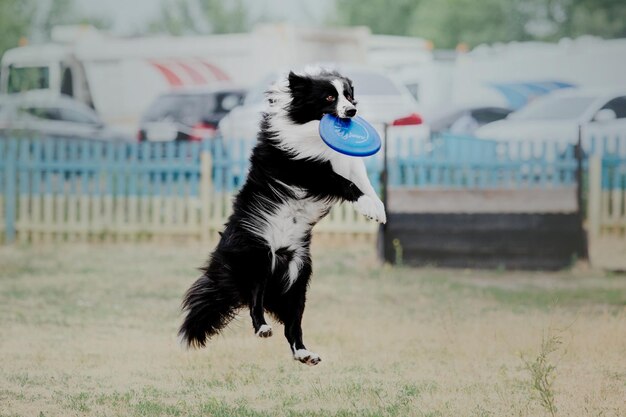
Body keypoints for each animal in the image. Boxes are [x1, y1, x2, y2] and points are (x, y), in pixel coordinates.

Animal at [178, 67, 386, 364]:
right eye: (329, 96)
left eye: (348, 94)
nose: (352, 111)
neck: (308, 126)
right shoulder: (302, 167)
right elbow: (343, 182)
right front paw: (368, 206)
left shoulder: (344, 161)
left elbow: (362, 180)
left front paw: (377, 208)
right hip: (258, 257)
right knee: (254, 300)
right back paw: (262, 327)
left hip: (298, 278)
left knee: (292, 323)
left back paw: (304, 353)